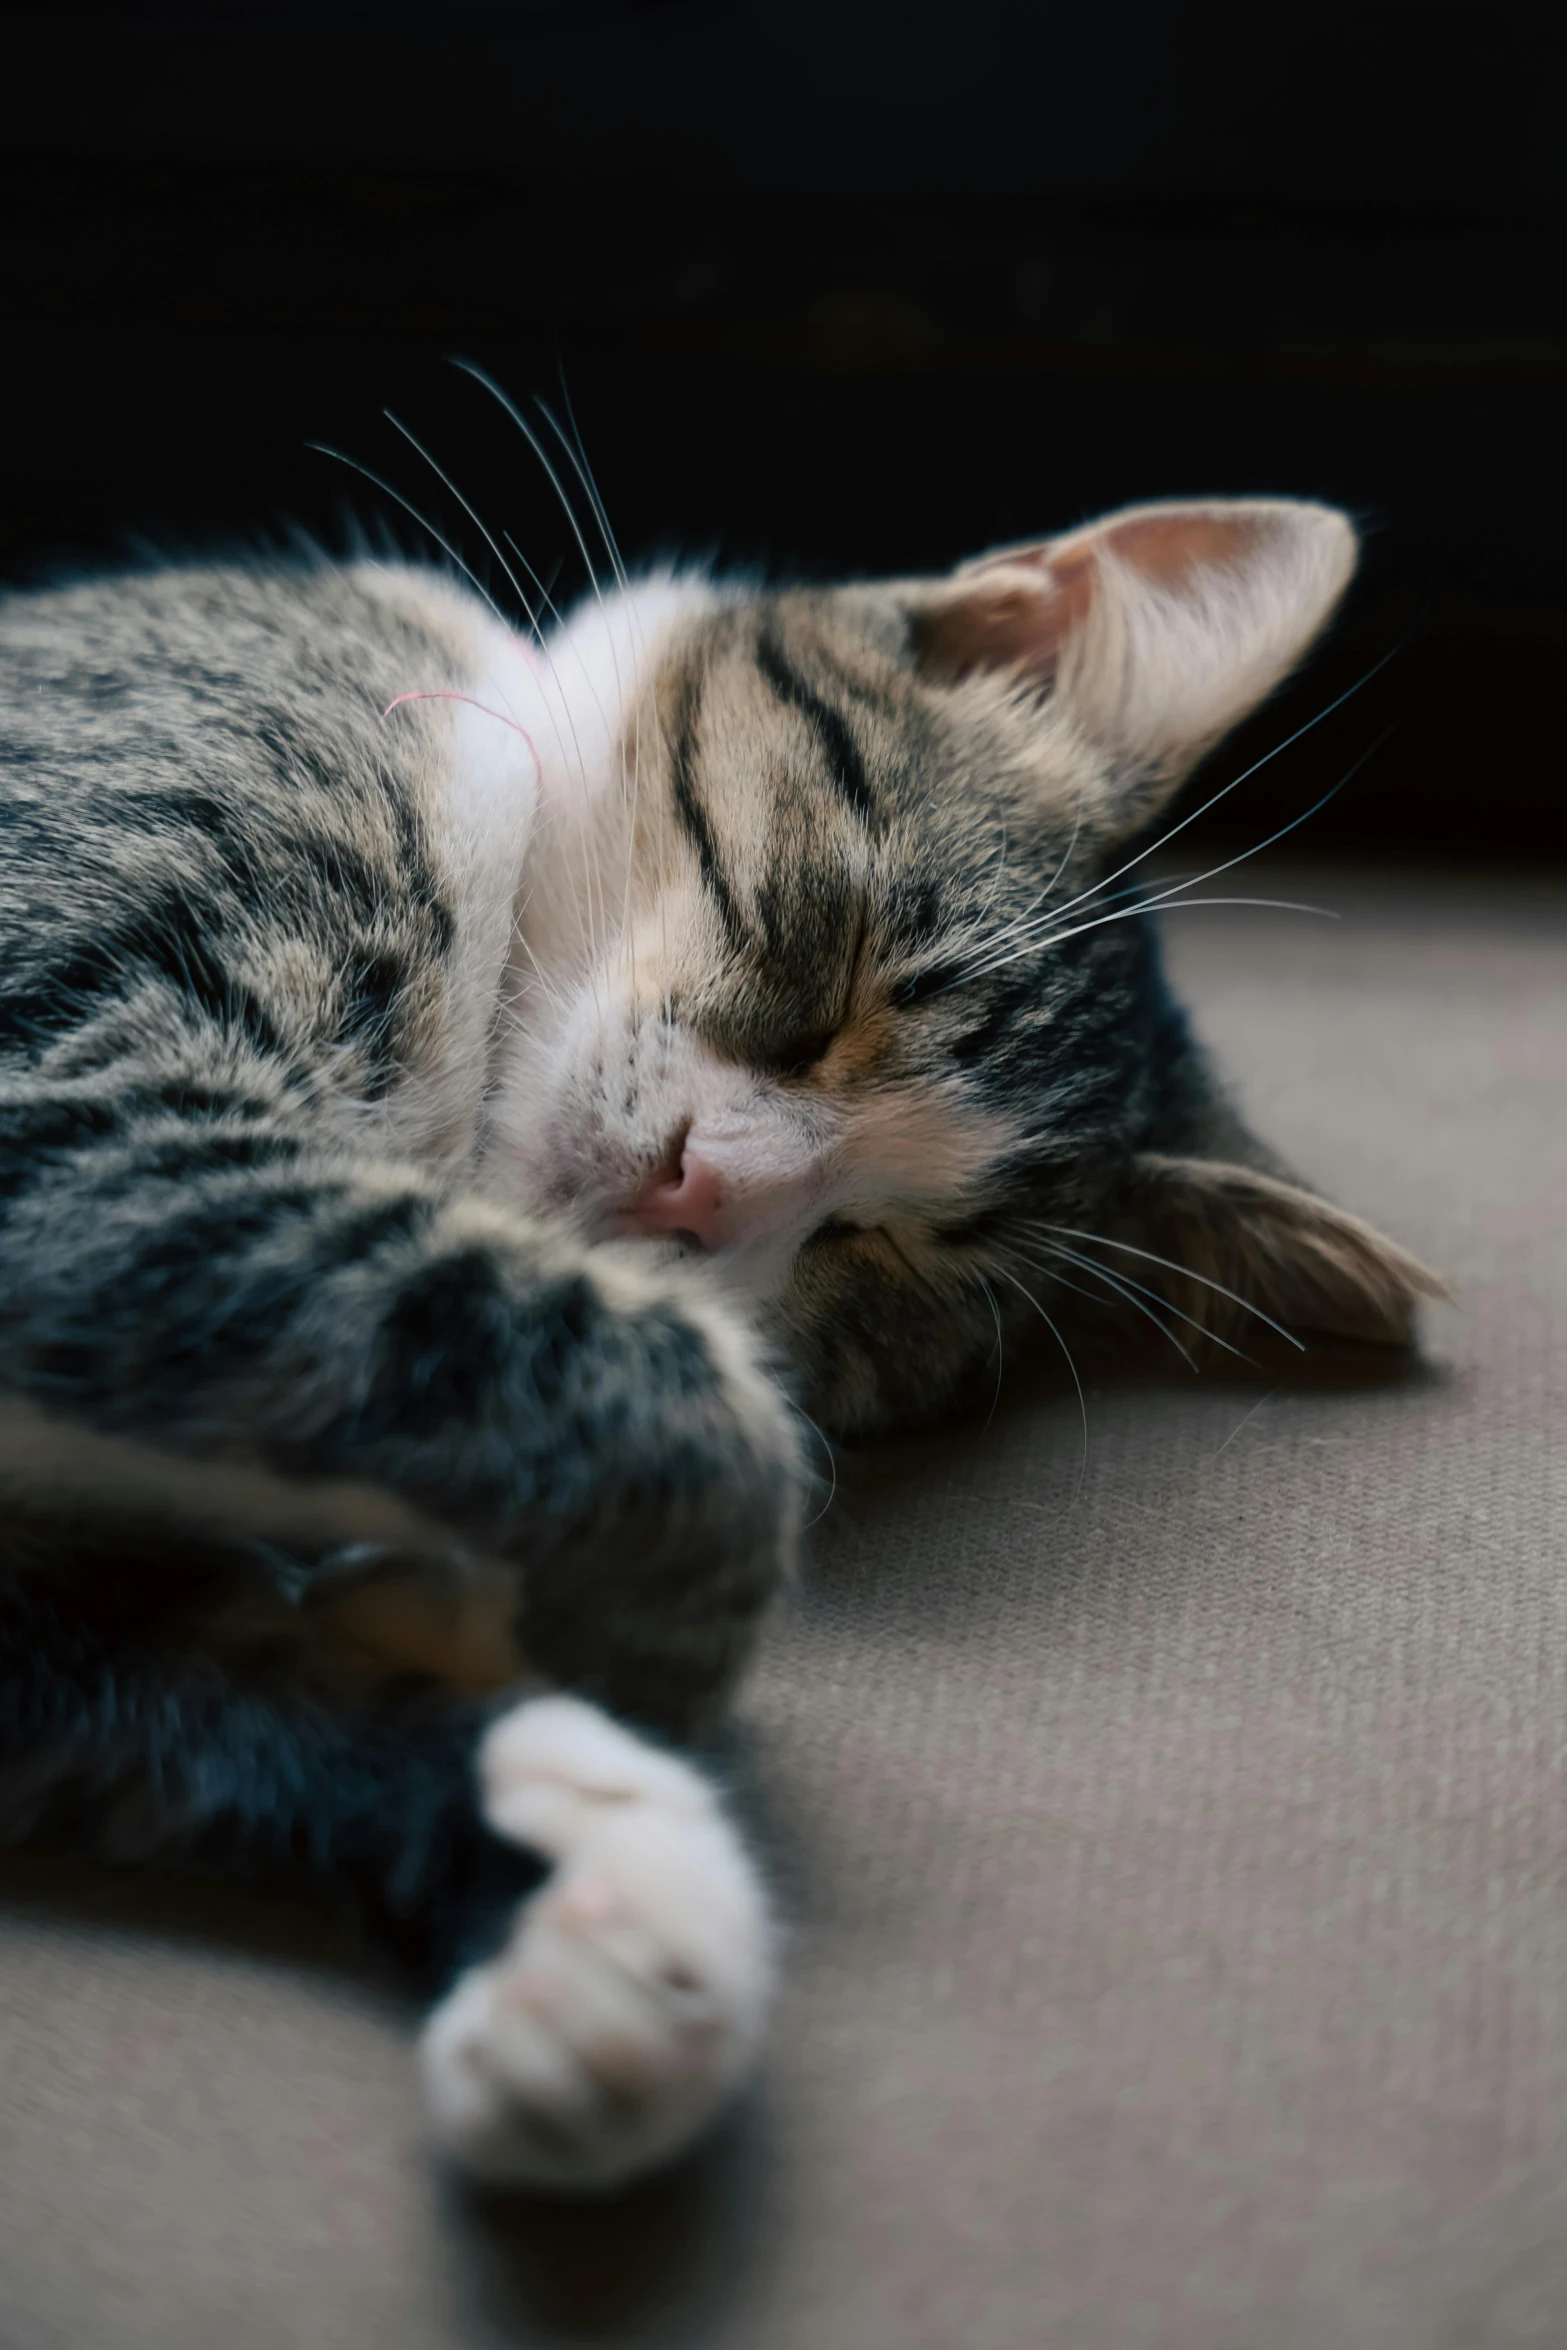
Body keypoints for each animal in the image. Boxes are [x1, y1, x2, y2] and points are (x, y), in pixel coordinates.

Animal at [0, 486, 1437, 2190]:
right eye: (845, 963)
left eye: (883, 1262)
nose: (705, 1186)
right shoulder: (73, 1089)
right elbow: (654, 1391)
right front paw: (628, 1653)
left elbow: (152, 1692)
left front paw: (583, 1915)